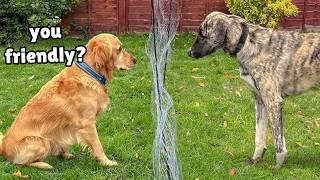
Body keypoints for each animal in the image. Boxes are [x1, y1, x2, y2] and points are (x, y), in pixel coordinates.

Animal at [188, 11, 320, 169]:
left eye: (202, 34)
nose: (188, 52)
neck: (247, 43)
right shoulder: (260, 101)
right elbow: (260, 135)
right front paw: (255, 160)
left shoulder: (273, 101)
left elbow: (277, 139)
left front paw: (277, 167)